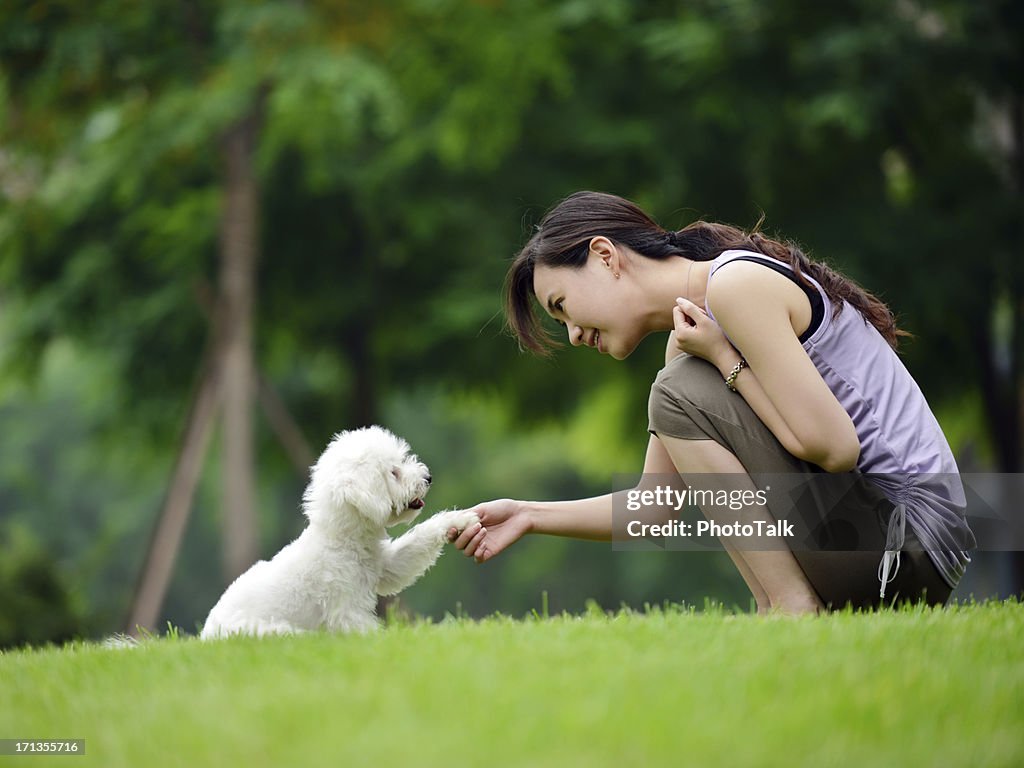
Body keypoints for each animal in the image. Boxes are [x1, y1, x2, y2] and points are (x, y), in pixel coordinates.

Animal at [200, 428, 479, 638]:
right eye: (394, 472)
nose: (428, 477)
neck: (345, 540)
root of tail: (206, 635)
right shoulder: (346, 610)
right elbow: (364, 631)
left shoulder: (387, 567)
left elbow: (418, 540)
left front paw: (461, 520)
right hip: (266, 631)